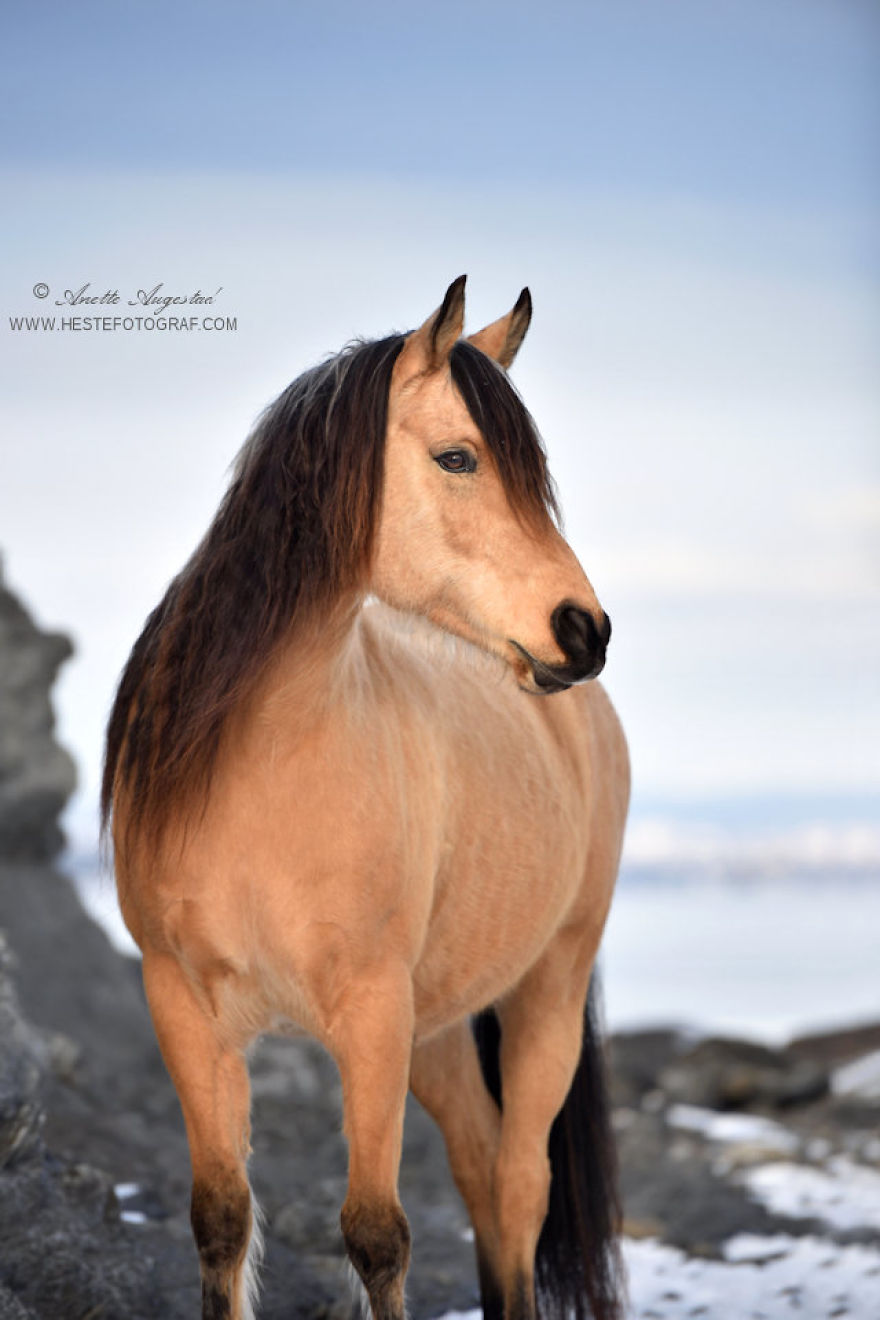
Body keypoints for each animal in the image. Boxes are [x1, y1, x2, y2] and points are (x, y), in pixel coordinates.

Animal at [102, 275, 630, 1320]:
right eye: (458, 456)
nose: (583, 631)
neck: (263, 772)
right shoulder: (182, 1007)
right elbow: (220, 1222)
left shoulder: (372, 1018)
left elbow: (376, 1237)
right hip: (440, 1032)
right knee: (482, 1175)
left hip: (545, 990)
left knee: (519, 1187)